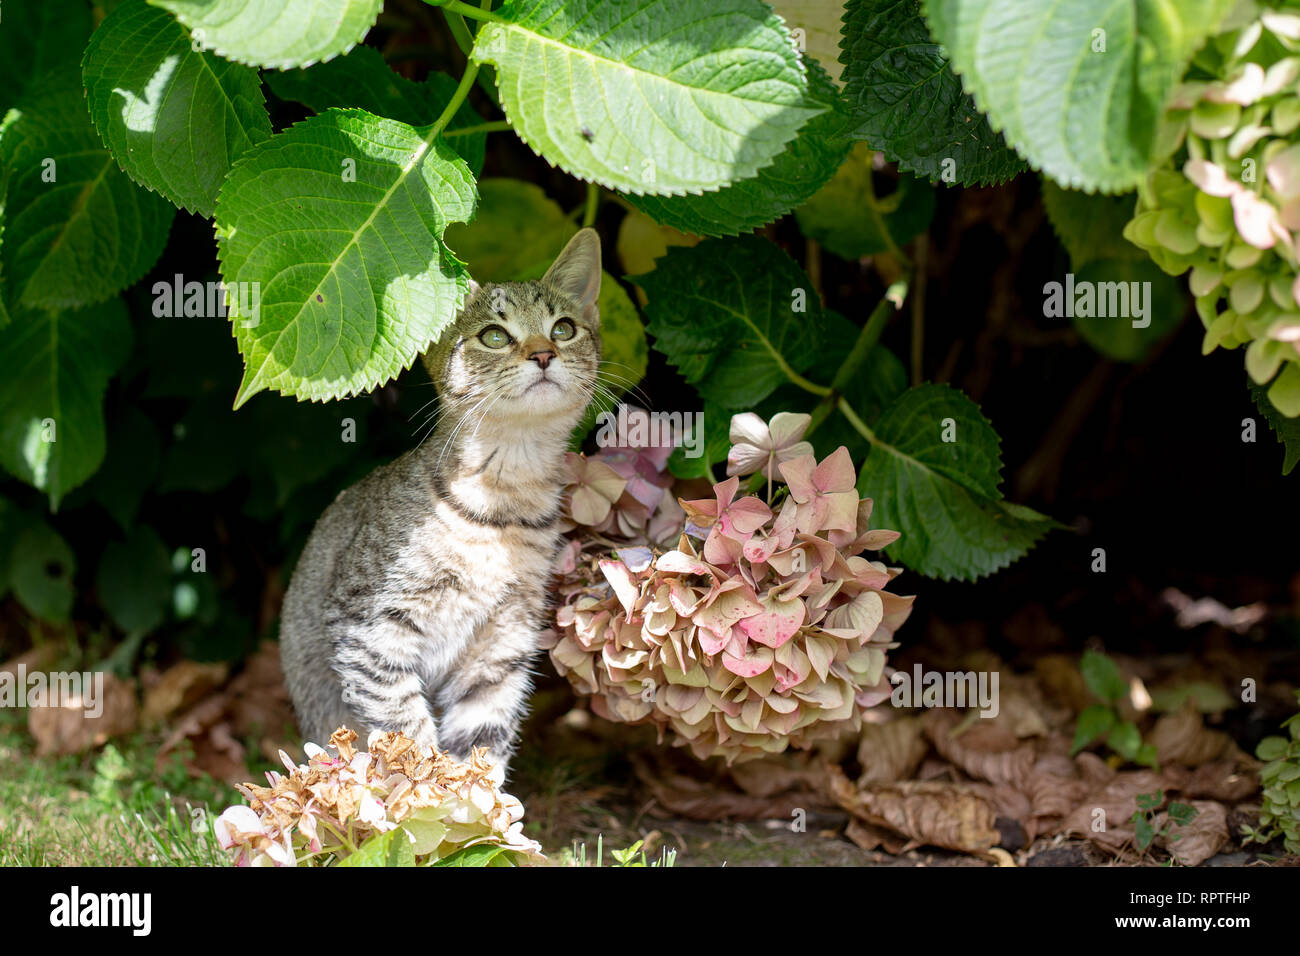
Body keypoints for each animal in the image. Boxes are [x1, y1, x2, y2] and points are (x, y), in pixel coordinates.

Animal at [280, 230, 603, 780]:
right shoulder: (368, 627)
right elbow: (406, 733)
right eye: (494, 336)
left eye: (563, 329)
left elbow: (482, 738)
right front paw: (427, 796)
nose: (543, 354)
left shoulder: (503, 640)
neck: (502, 504)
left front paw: (478, 803)